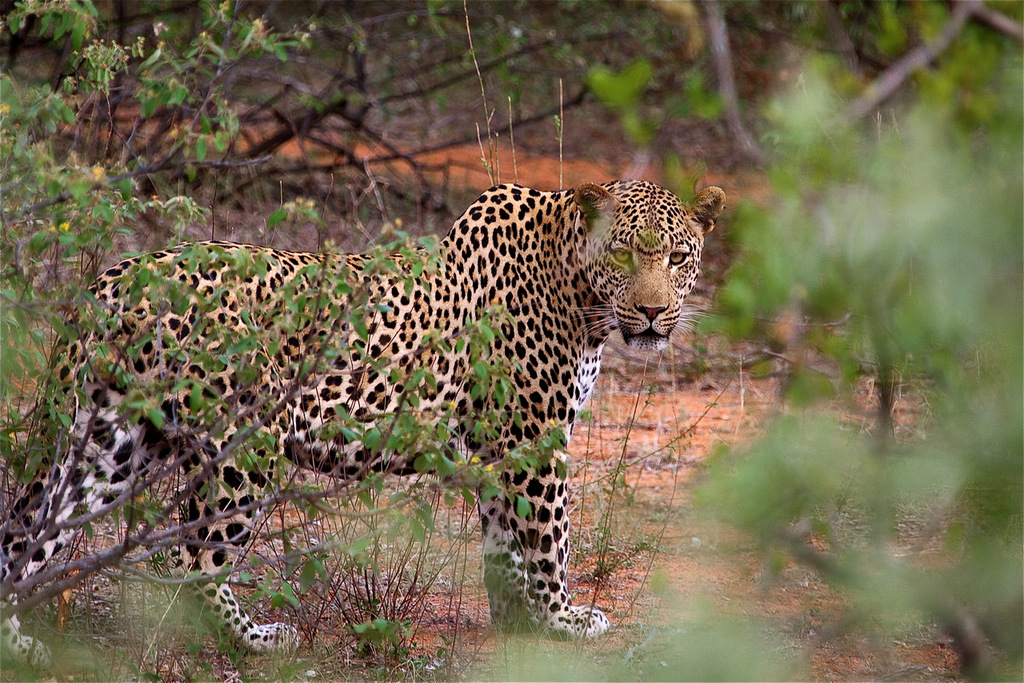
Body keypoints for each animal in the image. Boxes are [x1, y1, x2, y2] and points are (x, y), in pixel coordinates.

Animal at [0, 180, 724, 667]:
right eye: (625, 254)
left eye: (679, 257)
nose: (654, 312)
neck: (579, 292)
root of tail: (117, 278)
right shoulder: (533, 442)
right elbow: (550, 540)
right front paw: (563, 619)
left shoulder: (498, 447)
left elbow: (504, 544)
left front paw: (517, 623)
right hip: (244, 448)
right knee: (190, 553)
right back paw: (254, 641)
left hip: (112, 443)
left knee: (29, 529)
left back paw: (18, 643)